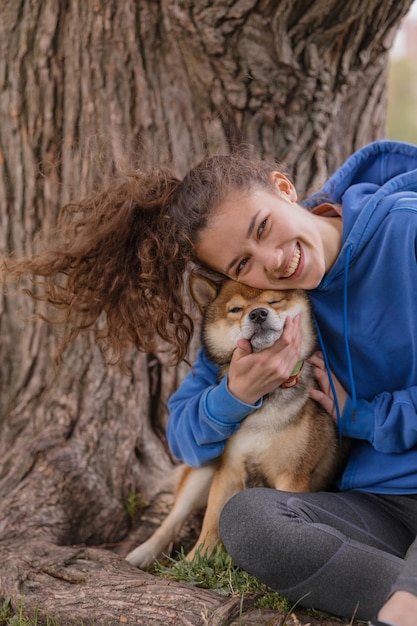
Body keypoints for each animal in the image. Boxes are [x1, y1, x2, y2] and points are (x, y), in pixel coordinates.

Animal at [127, 272, 342, 564]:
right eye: (236, 309)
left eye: (274, 301)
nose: (259, 314)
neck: (266, 399)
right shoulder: (228, 469)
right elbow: (211, 520)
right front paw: (196, 560)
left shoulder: (292, 477)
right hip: (203, 469)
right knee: (172, 520)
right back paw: (141, 554)